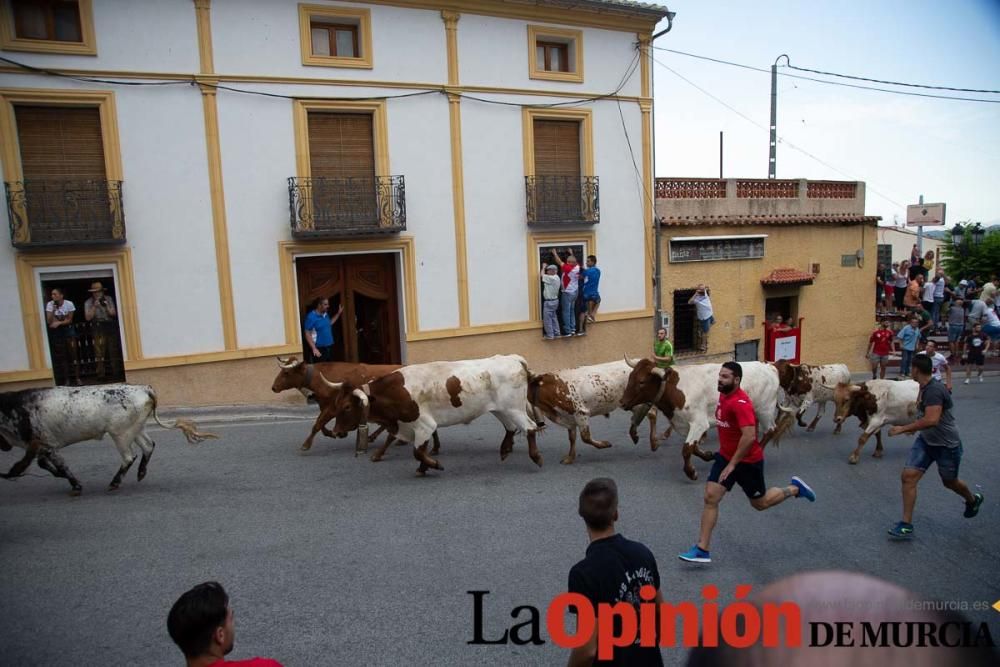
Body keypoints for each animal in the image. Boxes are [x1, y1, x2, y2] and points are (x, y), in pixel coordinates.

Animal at [0, 386, 215, 496]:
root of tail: (144, 389)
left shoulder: (45, 444)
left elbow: (59, 465)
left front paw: (75, 485)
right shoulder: (43, 447)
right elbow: (44, 464)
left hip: (120, 434)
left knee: (129, 456)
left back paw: (114, 482)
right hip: (135, 429)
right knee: (148, 446)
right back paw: (140, 473)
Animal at [528, 362, 660, 468]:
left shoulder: (581, 413)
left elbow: (585, 437)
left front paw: (604, 444)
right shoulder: (570, 419)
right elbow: (572, 438)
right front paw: (570, 458)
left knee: (652, 413)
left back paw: (652, 442)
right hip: (627, 403)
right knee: (645, 413)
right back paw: (636, 435)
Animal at [620, 360, 792, 480]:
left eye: (642, 381)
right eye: (630, 377)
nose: (622, 402)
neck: (674, 389)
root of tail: (769, 367)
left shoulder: (699, 423)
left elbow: (686, 449)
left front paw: (691, 473)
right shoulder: (686, 425)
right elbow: (694, 448)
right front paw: (708, 455)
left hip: (765, 410)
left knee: (770, 431)